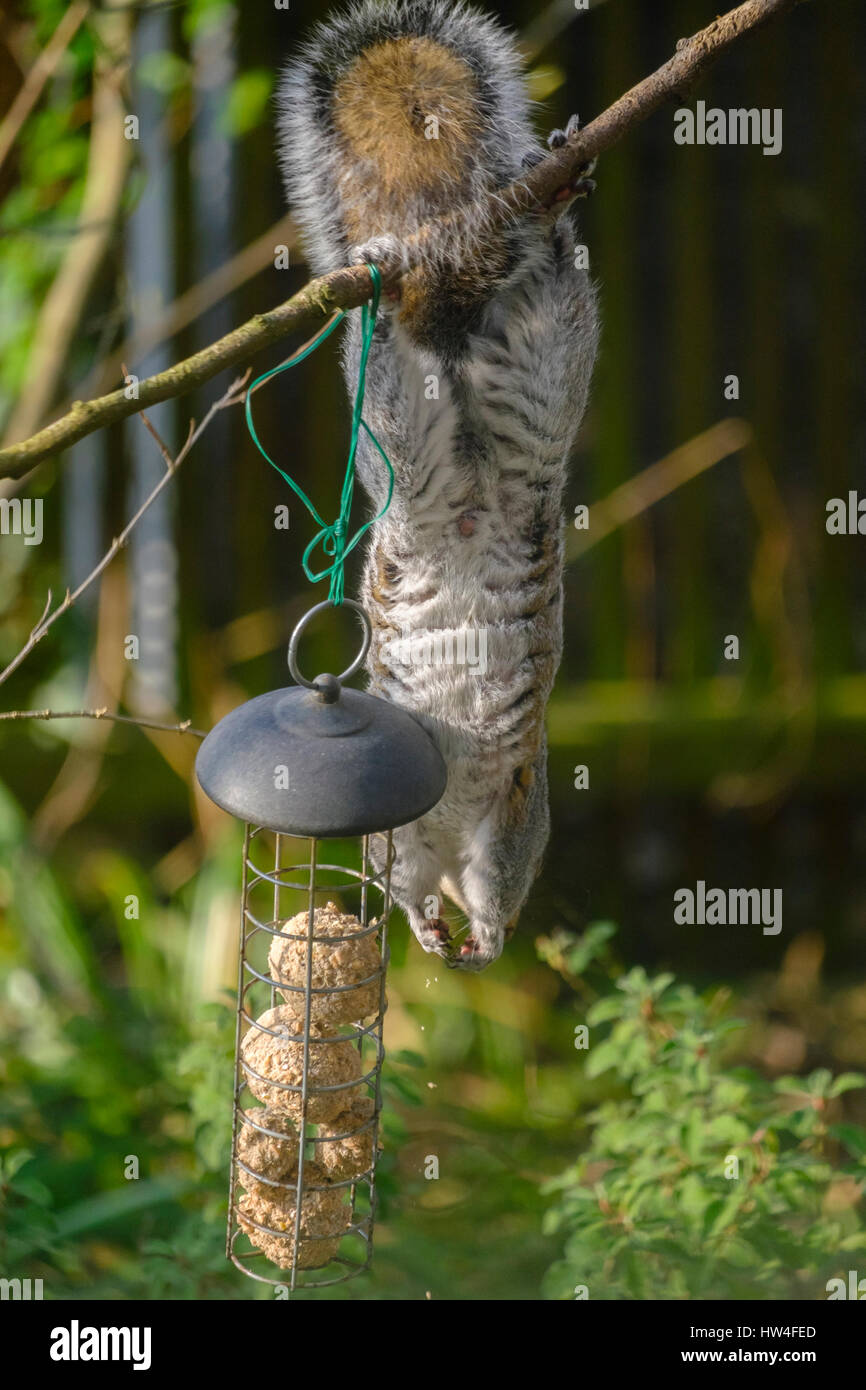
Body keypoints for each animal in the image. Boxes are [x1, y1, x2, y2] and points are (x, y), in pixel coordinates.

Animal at [277, 0, 599, 970]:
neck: (454, 835)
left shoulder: (512, 822)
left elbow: (497, 885)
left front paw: (483, 937)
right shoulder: (409, 844)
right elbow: (412, 882)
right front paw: (429, 927)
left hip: (539, 377)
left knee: (555, 288)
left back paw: (551, 198)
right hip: (403, 446)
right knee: (380, 357)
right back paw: (379, 286)